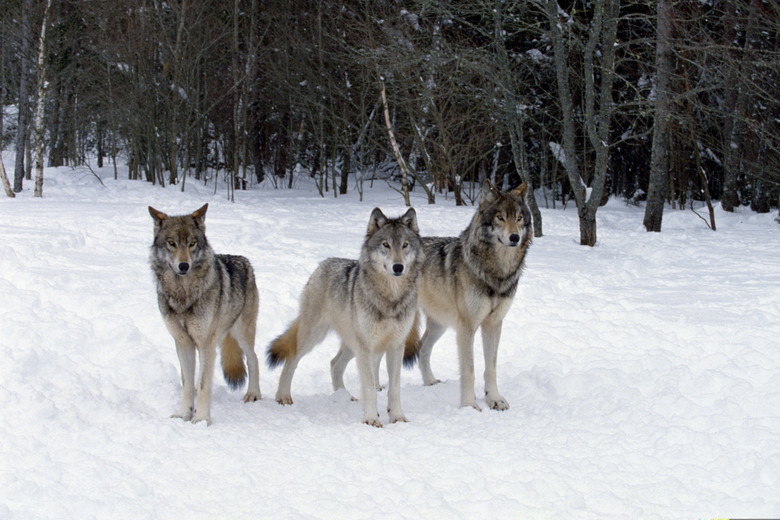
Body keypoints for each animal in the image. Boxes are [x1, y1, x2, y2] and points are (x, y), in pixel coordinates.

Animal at [149, 203, 261, 425]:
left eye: (192, 243)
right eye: (172, 243)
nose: (184, 266)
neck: (183, 294)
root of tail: (245, 261)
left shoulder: (205, 343)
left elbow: (202, 385)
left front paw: (201, 419)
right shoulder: (183, 342)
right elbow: (187, 383)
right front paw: (183, 413)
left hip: (242, 334)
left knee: (254, 359)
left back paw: (253, 394)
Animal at [267, 208, 424, 427]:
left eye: (405, 245)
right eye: (386, 245)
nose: (398, 267)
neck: (390, 298)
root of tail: (323, 263)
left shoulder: (396, 345)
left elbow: (394, 387)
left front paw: (397, 417)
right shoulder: (367, 347)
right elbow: (369, 387)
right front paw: (371, 418)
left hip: (352, 345)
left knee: (334, 364)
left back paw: (343, 396)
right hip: (315, 337)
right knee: (292, 359)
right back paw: (283, 396)